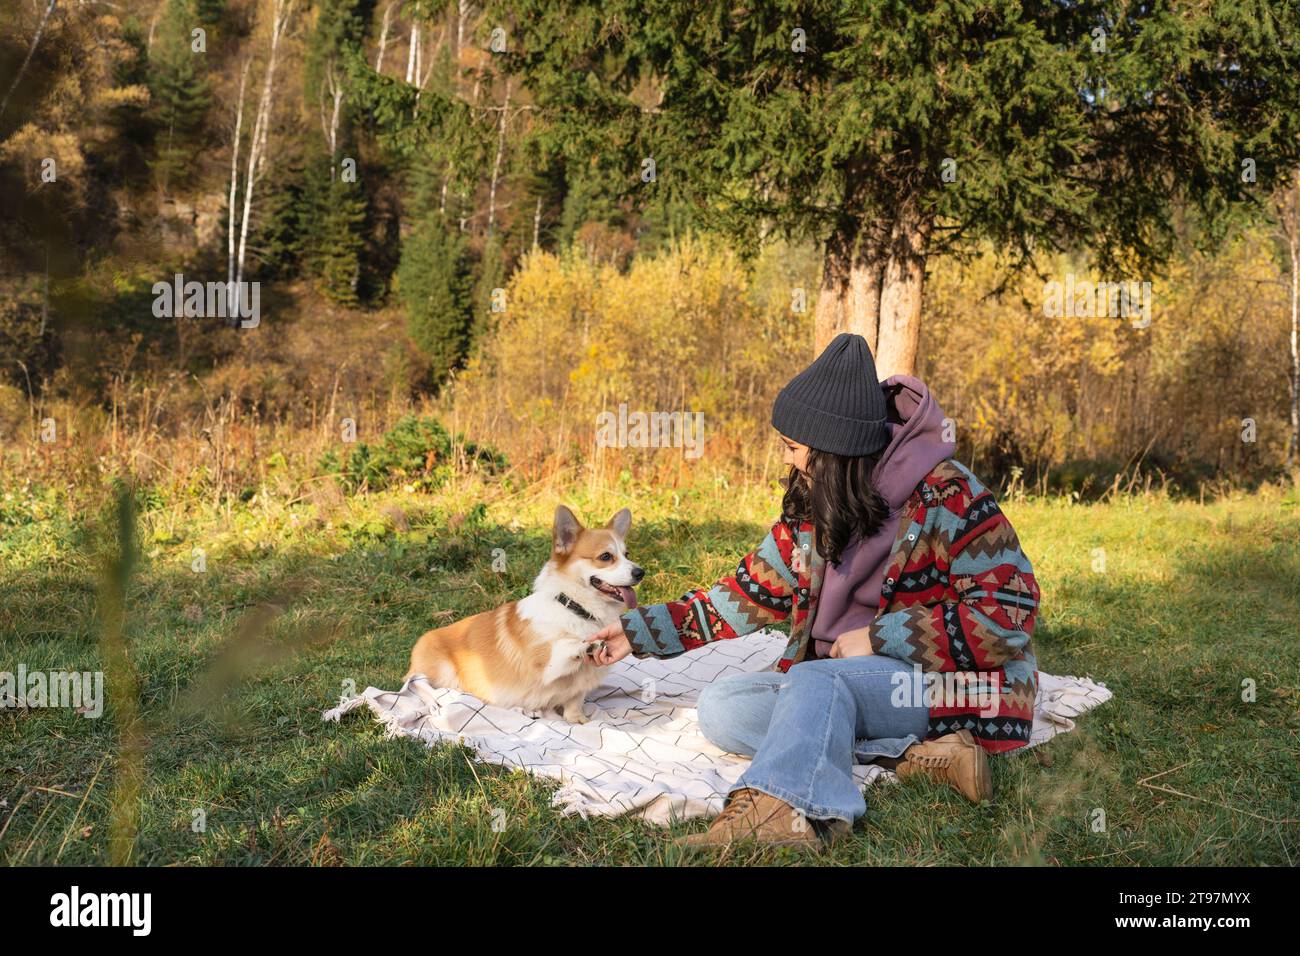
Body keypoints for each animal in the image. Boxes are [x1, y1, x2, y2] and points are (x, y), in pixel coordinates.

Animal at [403, 504, 642, 723]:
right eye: (605, 556)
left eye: (627, 554)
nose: (641, 572)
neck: (576, 609)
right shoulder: (545, 669)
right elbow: (564, 646)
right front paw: (585, 645)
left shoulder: (579, 686)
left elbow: (574, 706)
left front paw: (579, 720)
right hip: (442, 670)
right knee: (414, 682)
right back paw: (435, 701)